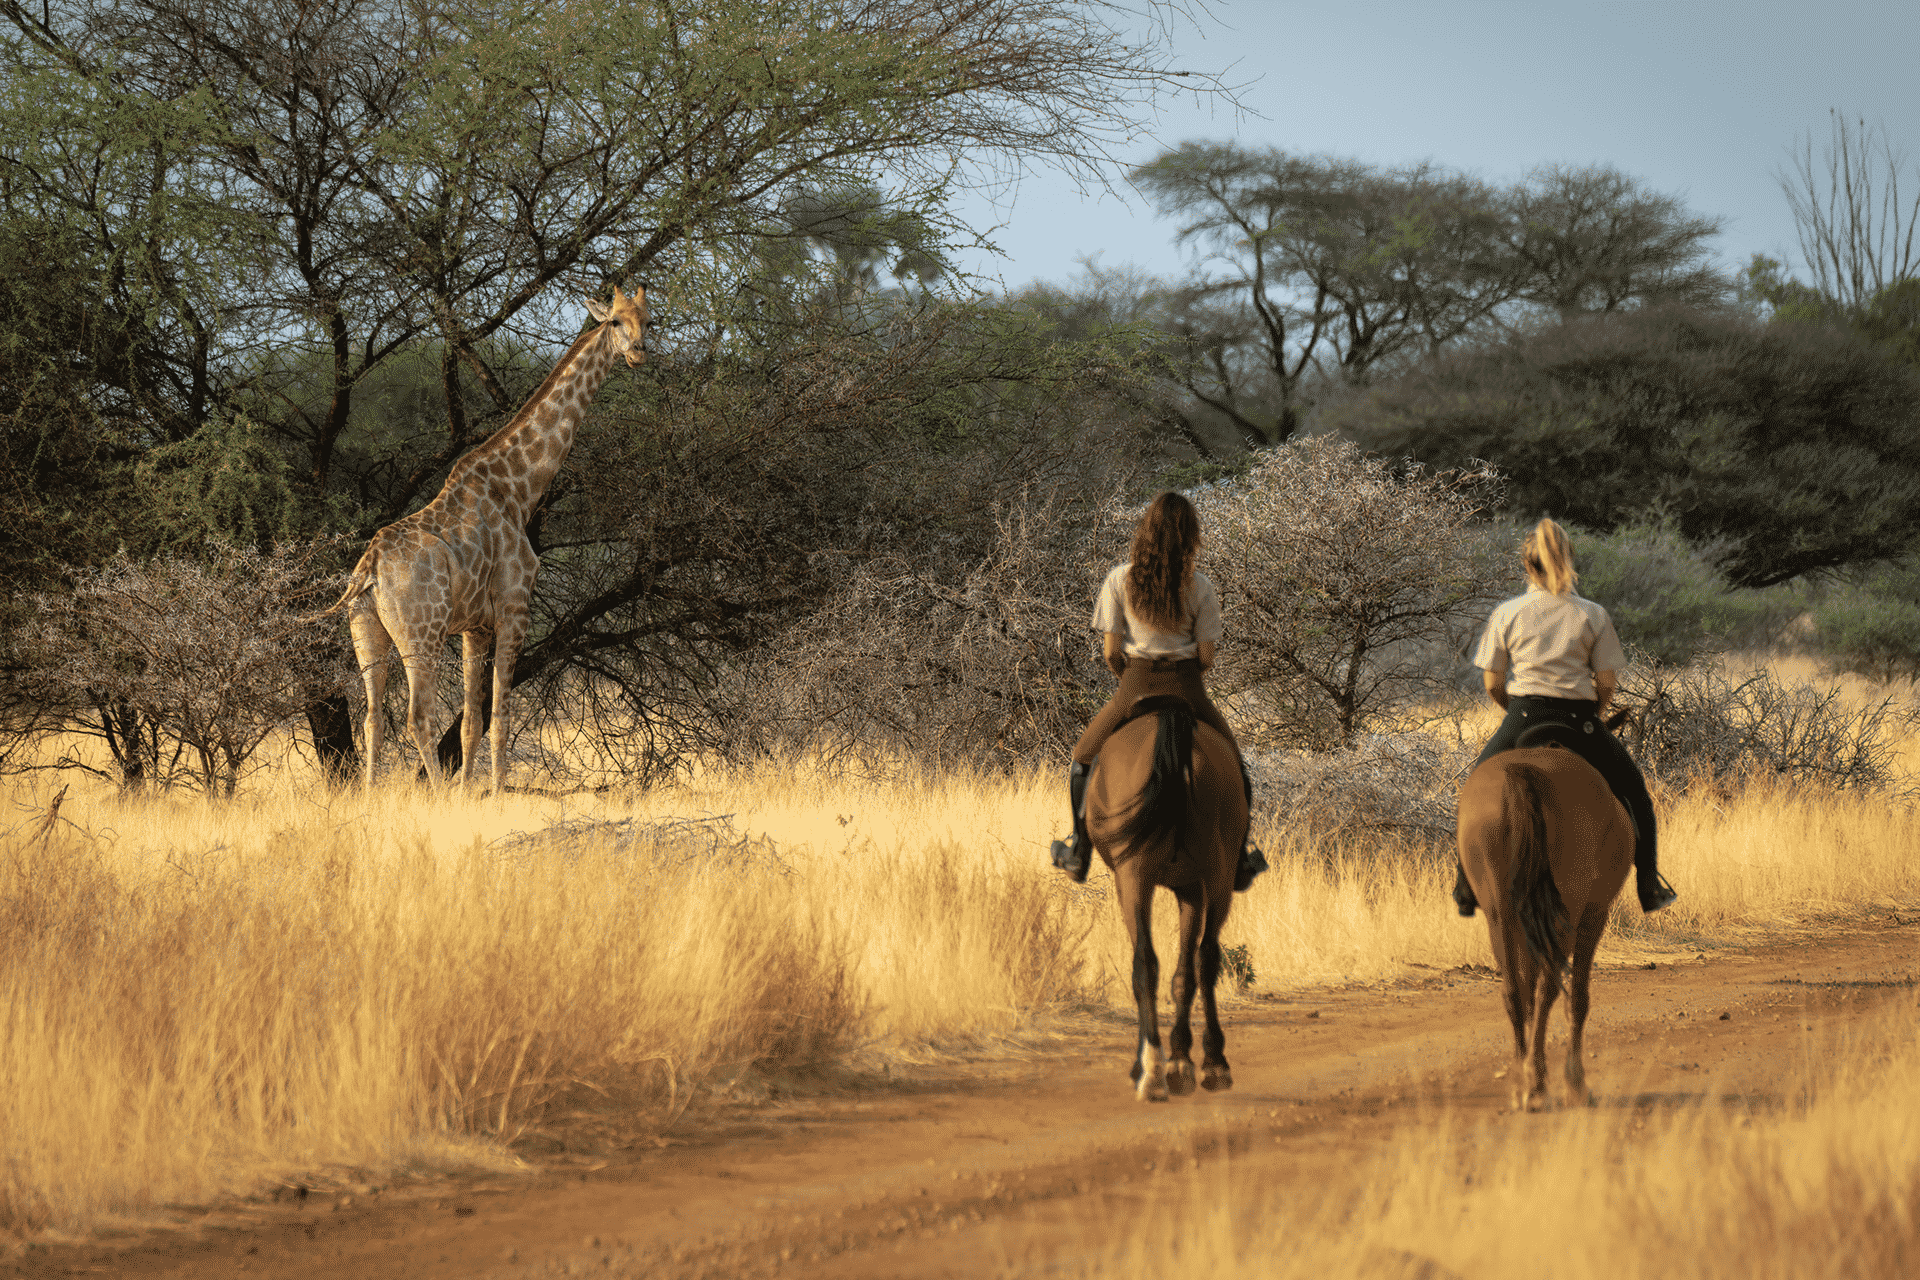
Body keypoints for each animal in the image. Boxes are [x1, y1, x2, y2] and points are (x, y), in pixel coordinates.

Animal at [332, 284, 649, 793]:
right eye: (616, 321)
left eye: (648, 320)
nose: (639, 352)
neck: (519, 488)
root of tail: (371, 567)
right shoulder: (514, 606)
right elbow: (499, 715)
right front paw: (494, 794)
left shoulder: (474, 626)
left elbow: (470, 723)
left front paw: (469, 795)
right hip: (422, 632)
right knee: (417, 716)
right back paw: (436, 796)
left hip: (366, 631)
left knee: (373, 716)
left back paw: (368, 798)